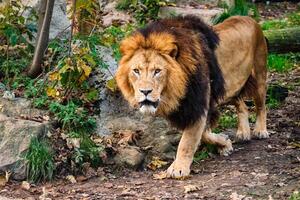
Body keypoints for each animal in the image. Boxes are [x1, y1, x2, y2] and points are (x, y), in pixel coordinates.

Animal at [116, 15, 268, 178]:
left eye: (157, 71)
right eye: (136, 71)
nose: (145, 91)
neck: (176, 90)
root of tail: (250, 19)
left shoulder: (199, 104)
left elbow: (189, 140)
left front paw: (178, 168)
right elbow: (204, 134)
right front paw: (225, 143)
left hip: (259, 74)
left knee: (261, 106)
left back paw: (260, 130)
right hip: (230, 87)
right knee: (242, 105)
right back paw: (243, 132)